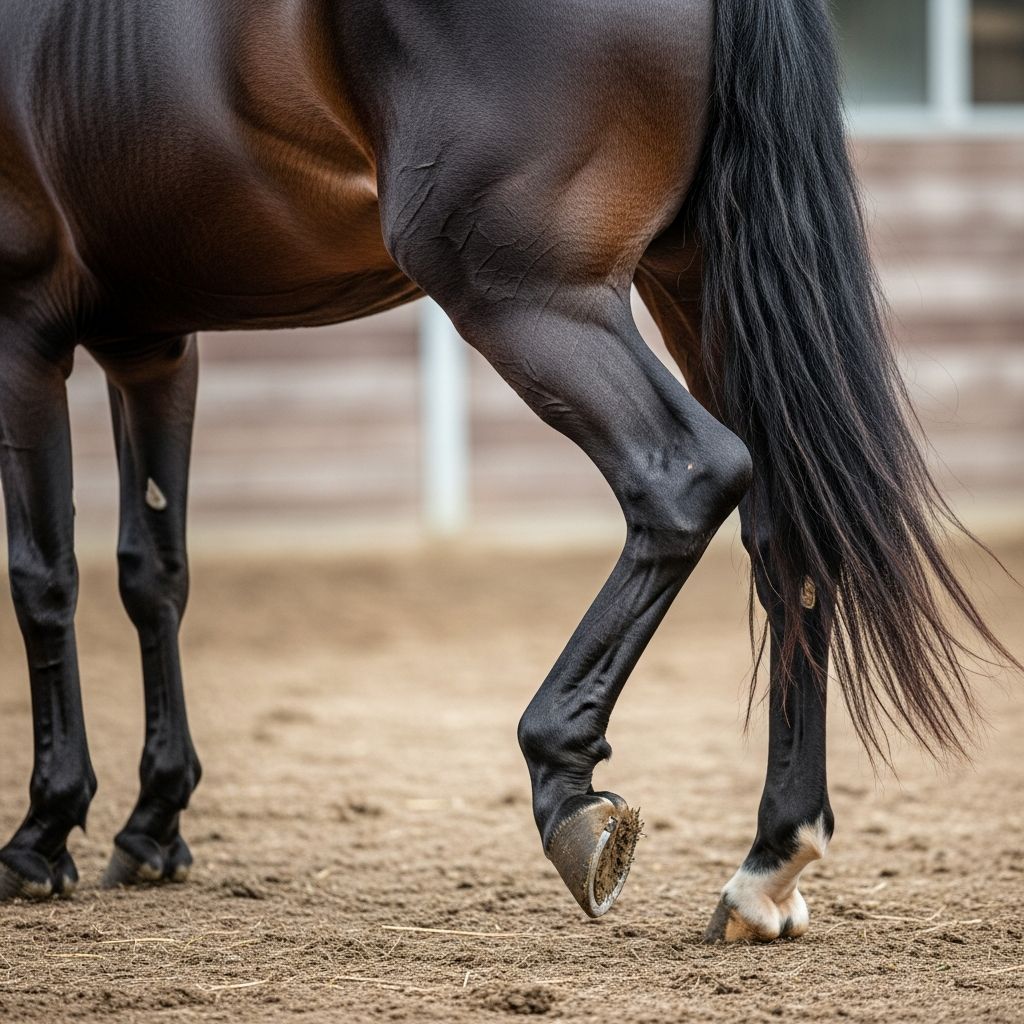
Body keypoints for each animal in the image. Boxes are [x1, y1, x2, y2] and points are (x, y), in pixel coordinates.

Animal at [0, 0, 1014, 942]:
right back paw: (770, 860)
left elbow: (43, 578)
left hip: (522, 289)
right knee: (787, 533)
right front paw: (153, 821)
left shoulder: (27, 330)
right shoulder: (154, 344)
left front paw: (44, 831)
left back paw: (567, 786)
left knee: (683, 476)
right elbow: (154, 573)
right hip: (693, 281)